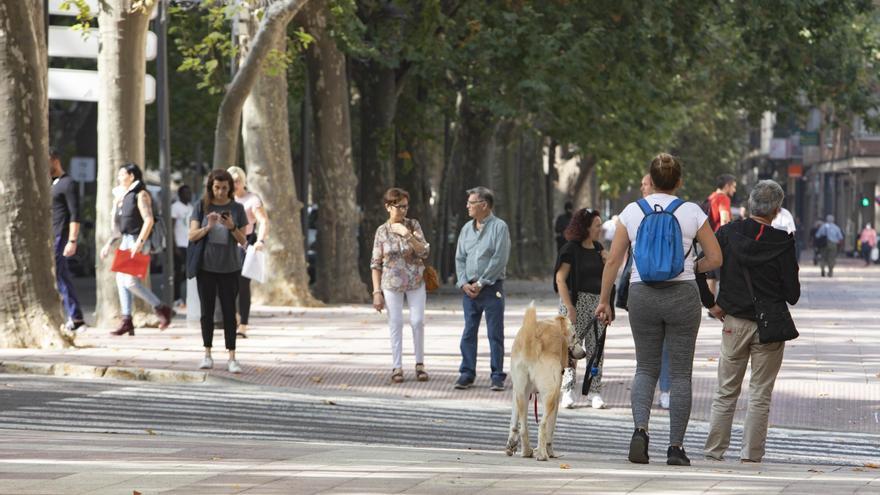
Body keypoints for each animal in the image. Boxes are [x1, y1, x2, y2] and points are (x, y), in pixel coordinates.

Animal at [508, 306, 584, 462]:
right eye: (574, 336)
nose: (584, 353)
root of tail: (532, 338)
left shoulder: (515, 392)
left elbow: (513, 420)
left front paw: (511, 443)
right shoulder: (555, 397)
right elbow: (550, 429)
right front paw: (550, 452)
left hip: (522, 393)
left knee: (523, 426)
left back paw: (526, 451)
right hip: (550, 395)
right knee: (542, 425)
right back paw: (542, 455)